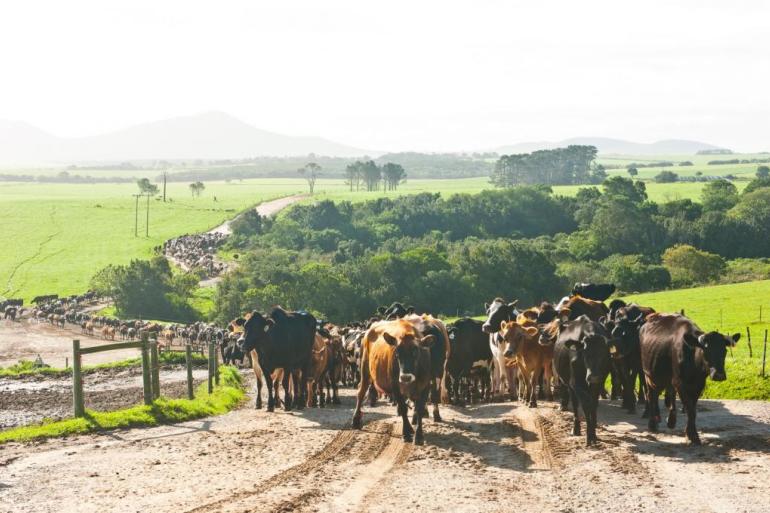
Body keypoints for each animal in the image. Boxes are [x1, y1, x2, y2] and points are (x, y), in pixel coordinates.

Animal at [552, 312, 612, 444]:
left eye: (604, 355)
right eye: (585, 354)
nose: (593, 376)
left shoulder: (599, 383)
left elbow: (593, 404)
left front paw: (593, 433)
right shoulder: (577, 384)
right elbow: (586, 405)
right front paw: (589, 436)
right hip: (570, 384)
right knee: (575, 404)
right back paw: (576, 428)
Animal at [636, 312, 736, 444]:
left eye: (724, 351)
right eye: (705, 351)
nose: (719, 375)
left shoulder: (698, 385)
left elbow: (693, 410)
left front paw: (691, 434)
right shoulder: (680, 383)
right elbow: (690, 409)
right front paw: (692, 436)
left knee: (667, 393)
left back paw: (670, 420)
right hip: (650, 375)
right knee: (652, 395)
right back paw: (653, 423)